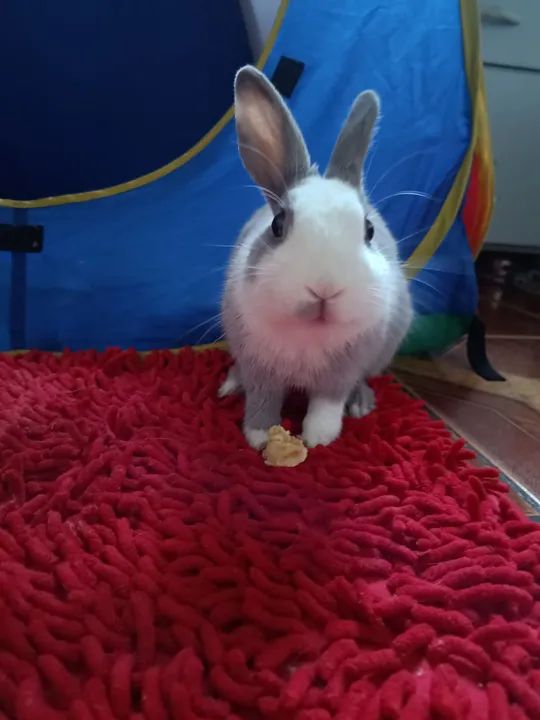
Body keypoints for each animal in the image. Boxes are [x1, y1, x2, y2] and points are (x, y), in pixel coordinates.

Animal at [220, 65, 413, 449]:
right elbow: (262, 400)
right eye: (278, 224)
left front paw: (318, 440)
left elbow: (327, 403)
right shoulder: (259, 365)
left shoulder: (341, 370)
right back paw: (231, 384)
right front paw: (260, 438)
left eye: (369, 230)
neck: (308, 333)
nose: (324, 288)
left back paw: (361, 403)